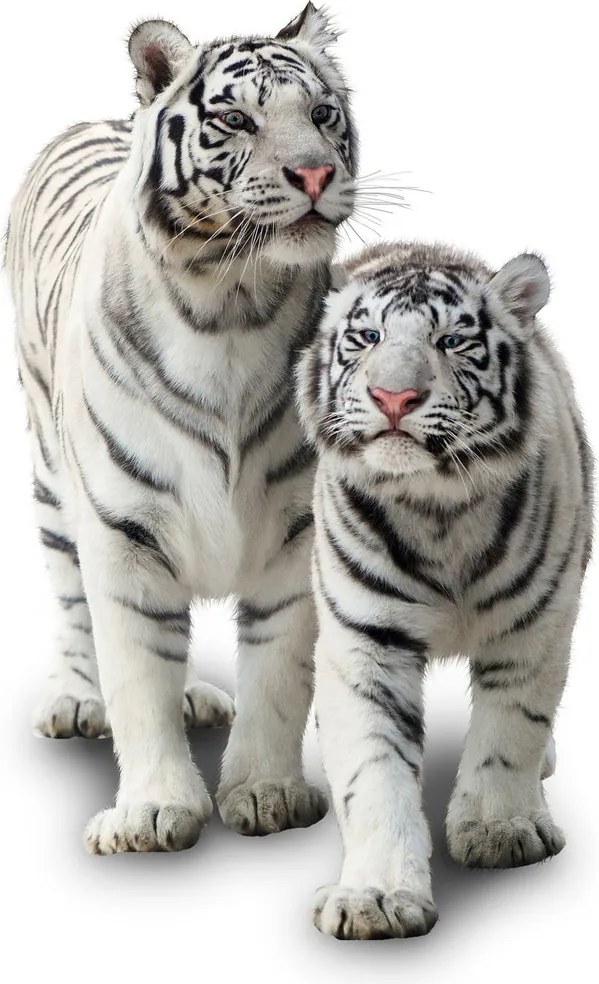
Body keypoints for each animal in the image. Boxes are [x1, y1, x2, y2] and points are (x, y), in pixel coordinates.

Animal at [4, 3, 358, 855]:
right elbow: (136, 678)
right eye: (235, 120)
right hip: (49, 481)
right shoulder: (123, 533)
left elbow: (277, 675)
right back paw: (75, 698)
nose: (315, 175)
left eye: (322, 115)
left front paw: (266, 792)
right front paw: (154, 811)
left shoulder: (295, 533)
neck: (232, 300)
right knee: (72, 604)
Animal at [297, 241, 592, 939]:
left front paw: (500, 829)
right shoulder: (365, 643)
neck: (438, 508)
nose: (394, 396)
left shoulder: (534, 628)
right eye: (368, 337)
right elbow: (374, 770)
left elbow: (512, 731)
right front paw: (374, 897)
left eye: (452, 340)